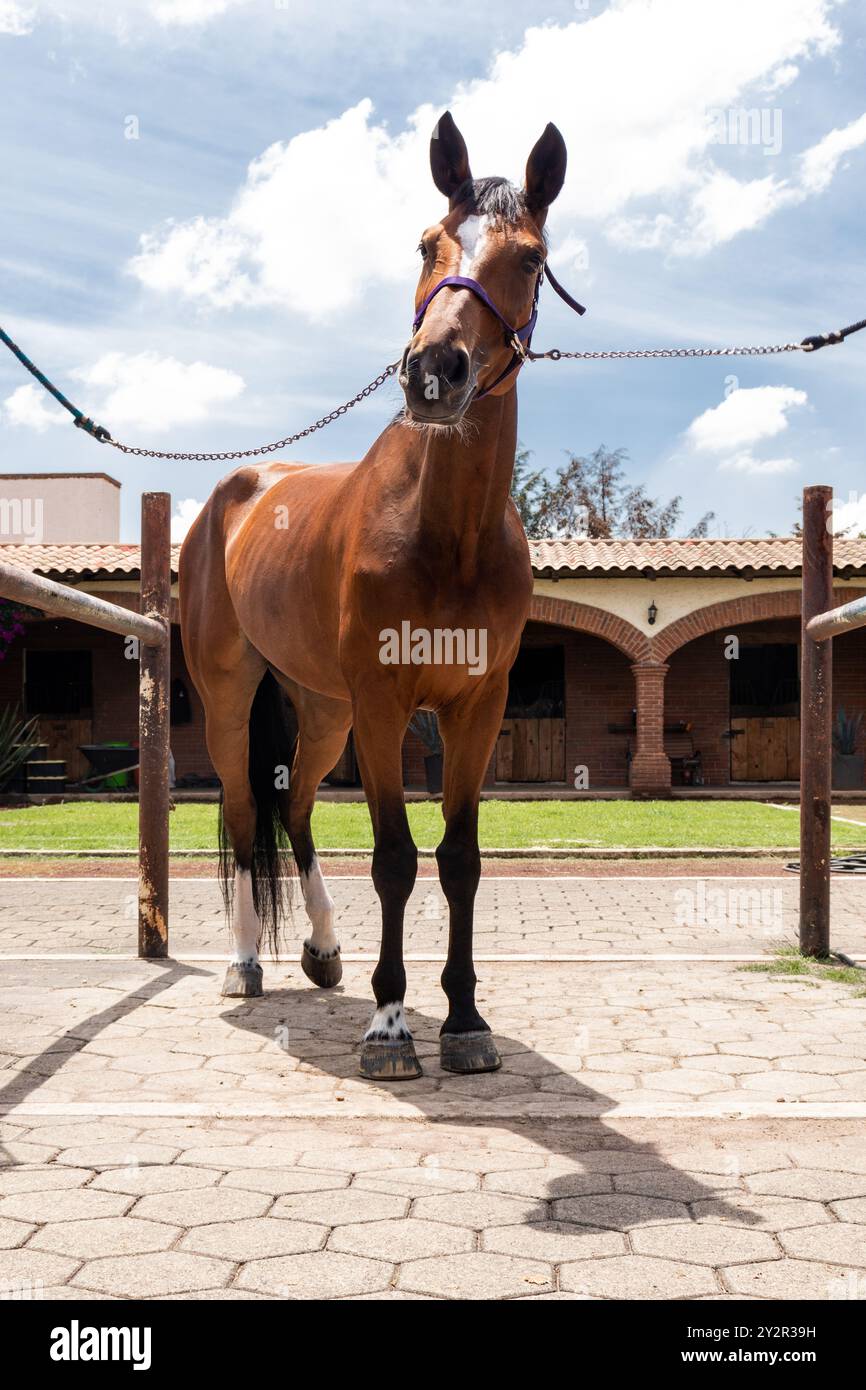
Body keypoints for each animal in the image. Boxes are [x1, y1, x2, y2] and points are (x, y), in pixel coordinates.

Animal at [177, 113, 569, 1078]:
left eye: (531, 258)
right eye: (429, 243)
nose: (437, 370)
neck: (445, 530)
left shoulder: (476, 707)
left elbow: (460, 858)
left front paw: (464, 1019)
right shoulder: (388, 706)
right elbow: (394, 857)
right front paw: (391, 1026)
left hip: (325, 711)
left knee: (296, 808)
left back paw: (321, 950)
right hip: (234, 699)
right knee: (245, 812)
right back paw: (247, 962)